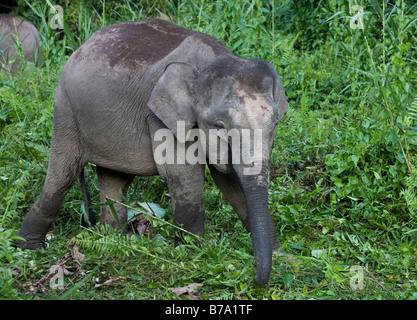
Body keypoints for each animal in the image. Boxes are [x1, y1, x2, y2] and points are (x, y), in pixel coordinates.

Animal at [17, 18, 288, 286]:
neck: (209, 62)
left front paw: (281, 255)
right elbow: (184, 177)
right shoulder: (160, 118)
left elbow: (227, 180)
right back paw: (28, 249)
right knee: (62, 176)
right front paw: (193, 257)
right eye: (219, 126)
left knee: (114, 180)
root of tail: (82, 46)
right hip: (65, 109)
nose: (255, 277)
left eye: (275, 124)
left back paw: (112, 241)